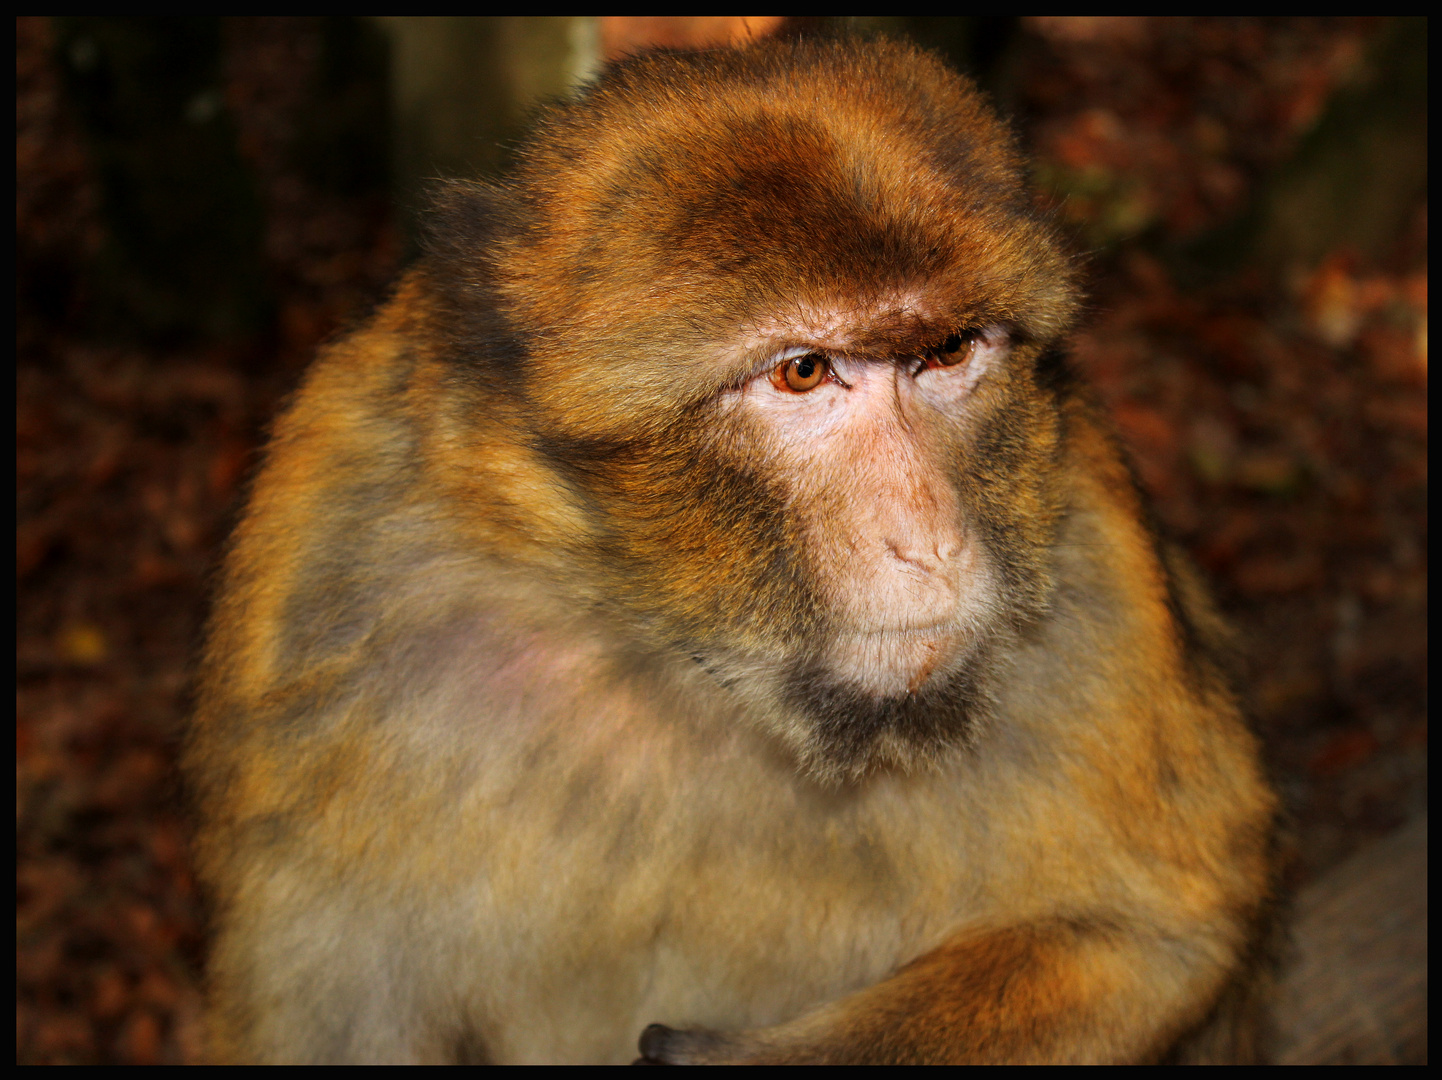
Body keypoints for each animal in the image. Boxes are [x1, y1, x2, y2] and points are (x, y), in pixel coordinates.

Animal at [186, 33, 1280, 1061]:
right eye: (802, 372)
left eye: (945, 353)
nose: (928, 541)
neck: (682, 661)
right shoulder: (339, 565)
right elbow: (337, 1016)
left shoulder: (1098, 582)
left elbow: (1147, 934)